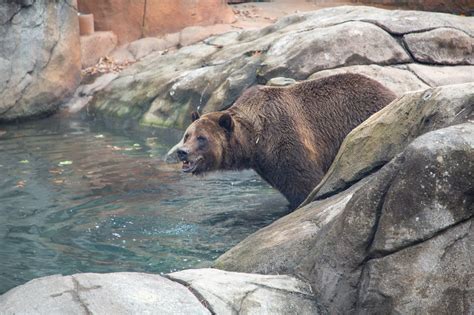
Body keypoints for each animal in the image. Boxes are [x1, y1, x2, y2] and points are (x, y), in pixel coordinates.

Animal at [174, 74, 396, 210]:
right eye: (187, 135)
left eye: (202, 138)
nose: (182, 151)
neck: (253, 141)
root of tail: (390, 92)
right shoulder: (265, 163)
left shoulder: (284, 139)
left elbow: (305, 181)